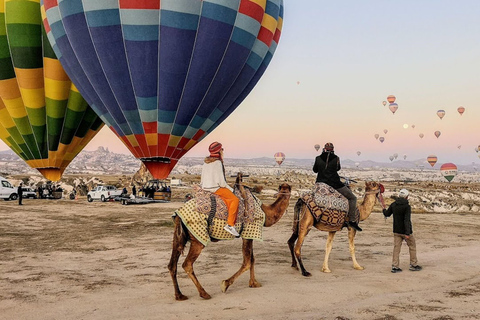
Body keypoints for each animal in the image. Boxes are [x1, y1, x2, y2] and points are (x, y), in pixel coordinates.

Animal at [167, 172, 290, 300]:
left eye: (287, 188)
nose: (285, 189)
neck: (265, 212)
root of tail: (179, 213)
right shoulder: (248, 233)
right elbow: (247, 262)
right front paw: (225, 284)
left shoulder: (249, 235)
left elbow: (252, 259)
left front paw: (254, 283)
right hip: (198, 237)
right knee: (187, 264)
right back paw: (204, 293)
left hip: (180, 236)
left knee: (172, 264)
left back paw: (179, 295)